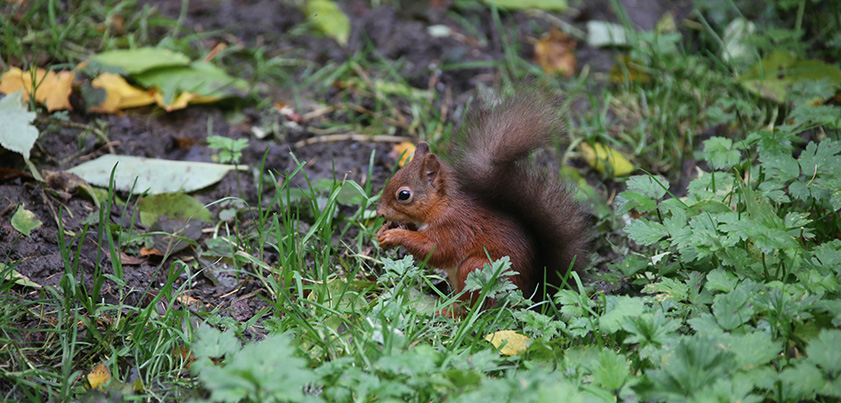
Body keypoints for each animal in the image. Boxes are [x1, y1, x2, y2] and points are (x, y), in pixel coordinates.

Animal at [376, 90, 588, 308]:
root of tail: (530, 295)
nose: (380, 212)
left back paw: (446, 311)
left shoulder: (454, 229)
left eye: (404, 195)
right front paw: (385, 231)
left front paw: (395, 236)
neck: (441, 206)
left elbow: (435, 250)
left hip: (476, 268)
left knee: (470, 307)